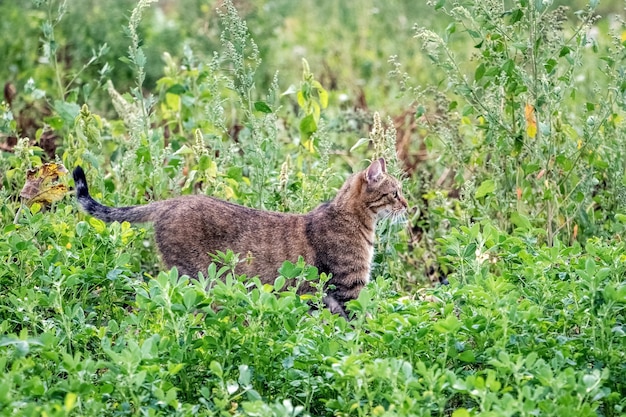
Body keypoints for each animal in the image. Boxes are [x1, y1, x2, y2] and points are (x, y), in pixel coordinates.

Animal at [73, 158, 408, 316]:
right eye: (394, 193)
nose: (408, 204)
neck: (356, 220)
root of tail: (174, 200)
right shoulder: (349, 287)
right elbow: (361, 324)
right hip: (197, 278)